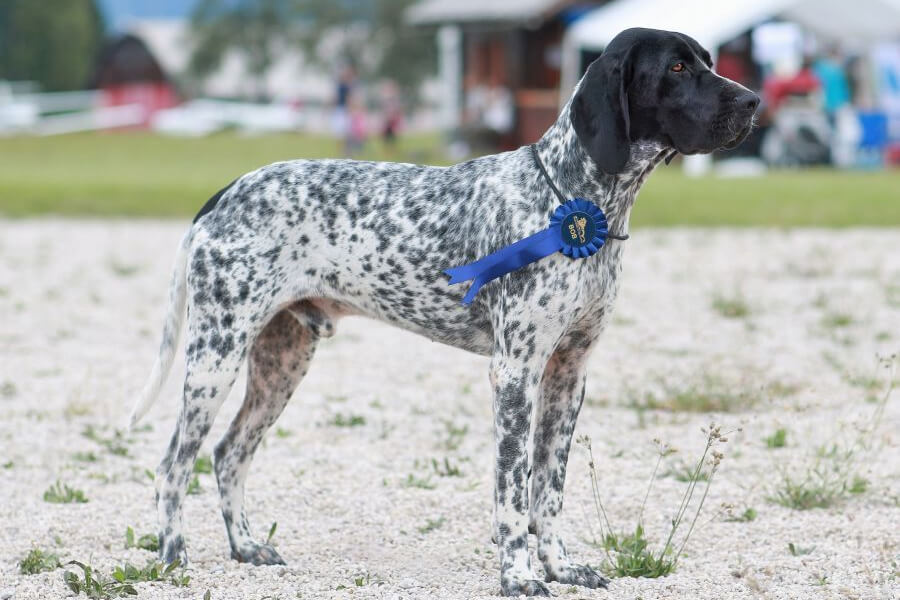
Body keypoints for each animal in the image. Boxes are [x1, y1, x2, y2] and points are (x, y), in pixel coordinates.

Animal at [128, 27, 760, 596]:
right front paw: (519, 576)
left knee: (227, 454)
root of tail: (225, 193)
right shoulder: (515, 374)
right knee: (172, 464)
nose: (754, 101)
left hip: (280, 362)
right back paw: (174, 556)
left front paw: (559, 567)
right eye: (677, 68)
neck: (575, 200)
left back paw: (246, 546)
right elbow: (513, 493)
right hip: (215, 357)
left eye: (709, 61)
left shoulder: (568, 374)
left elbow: (549, 491)